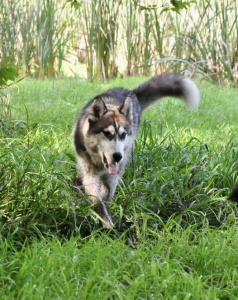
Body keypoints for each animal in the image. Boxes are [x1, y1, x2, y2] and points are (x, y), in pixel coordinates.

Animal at [73, 73, 200, 227]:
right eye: (107, 133)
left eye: (123, 135)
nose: (118, 156)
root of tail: (130, 92)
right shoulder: (89, 175)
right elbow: (98, 202)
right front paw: (103, 219)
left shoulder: (112, 178)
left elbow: (106, 198)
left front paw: (106, 219)